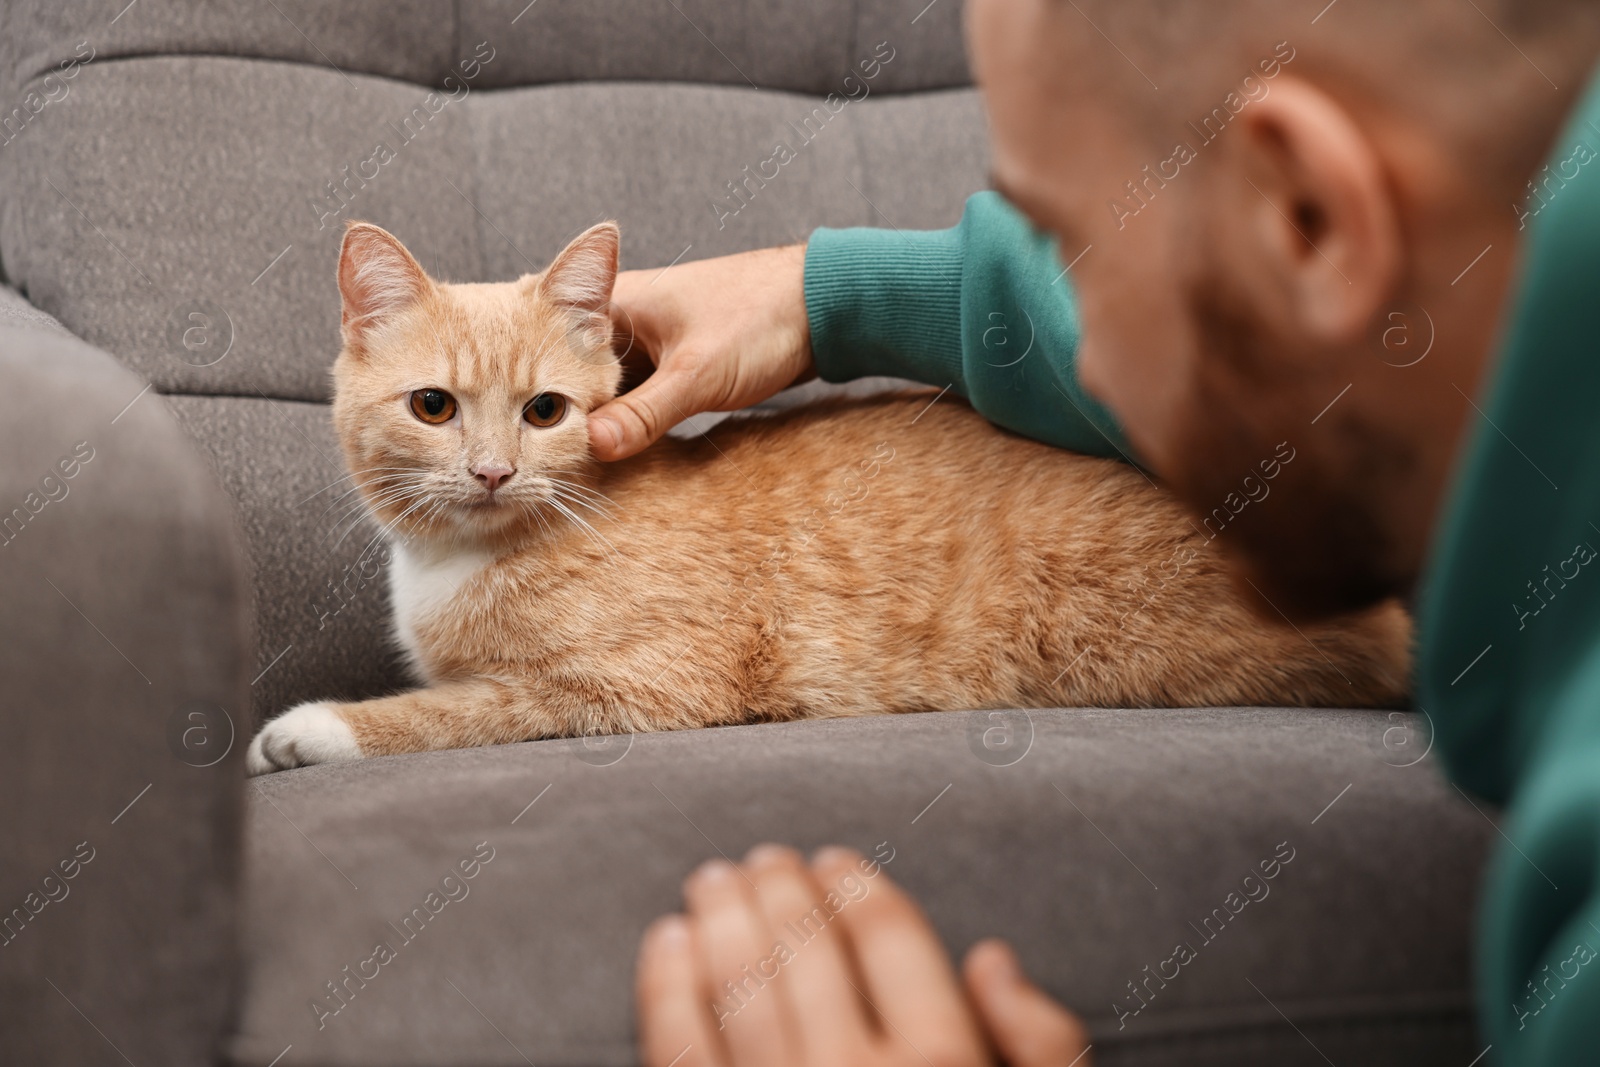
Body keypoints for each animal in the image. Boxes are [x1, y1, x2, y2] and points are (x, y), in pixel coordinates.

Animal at [243, 223, 1408, 777]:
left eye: (544, 411)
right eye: (434, 406)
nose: (491, 472)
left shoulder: (644, 684)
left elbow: (460, 707)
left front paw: (313, 729)